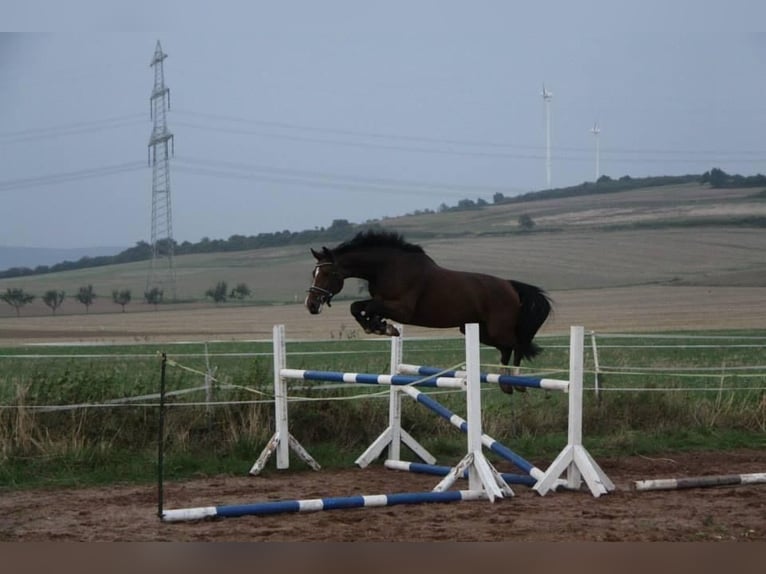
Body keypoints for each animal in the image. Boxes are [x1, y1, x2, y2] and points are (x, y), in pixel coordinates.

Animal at [306, 232, 552, 394]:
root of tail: (510, 286)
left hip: (497, 328)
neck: (387, 267)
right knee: (507, 348)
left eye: (328, 273)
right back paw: (505, 382)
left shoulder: (402, 309)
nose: (311, 305)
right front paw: (380, 326)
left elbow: (365, 307)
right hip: (479, 331)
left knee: (517, 345)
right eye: (314, 273)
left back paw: (516, 383)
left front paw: (382, 326)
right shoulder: (383, 302)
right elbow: (357, 307)